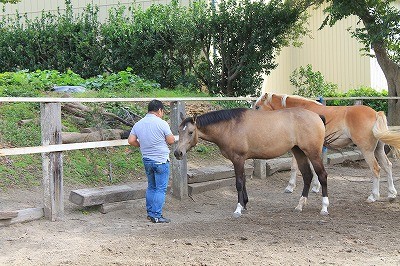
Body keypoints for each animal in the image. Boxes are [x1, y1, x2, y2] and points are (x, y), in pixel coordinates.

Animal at [173, 107, 330, 217]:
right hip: (299, 152)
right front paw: (244, 204)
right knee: (307, 176)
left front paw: (238, 209)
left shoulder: (238, 159)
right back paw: (300, 205)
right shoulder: (241, 160)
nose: (177, 153)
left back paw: (324, 207)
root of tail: (317, 116)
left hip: (313, 153)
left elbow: (239, 183)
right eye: (179, 131)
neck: (230, 126)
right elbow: (243, 181)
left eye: (190, 132)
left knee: (322, 175)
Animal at [255, 92, 400, 203]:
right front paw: (316, 187)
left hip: (367, 151)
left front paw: (290, 187)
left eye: (257, 107)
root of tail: (376, 113)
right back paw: (391, 193)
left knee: (376, 169)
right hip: (378, 150)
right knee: (388, 166)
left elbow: (294, 167)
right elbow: (314, 168)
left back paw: (373, 196)